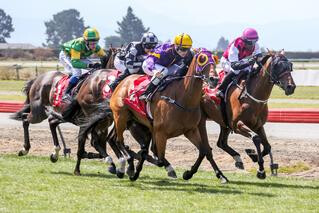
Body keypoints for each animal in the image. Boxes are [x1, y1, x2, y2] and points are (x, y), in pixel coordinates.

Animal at [110, 48, 230, 183]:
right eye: (202, 59)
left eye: (214, 59)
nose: (214, 79)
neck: (182, 98)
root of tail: (122, 82)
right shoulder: (161, 133)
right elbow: (159, 158)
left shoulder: (190, 130)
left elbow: (203, 151)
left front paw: (188, 174)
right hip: (120, 117)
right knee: (119, 141)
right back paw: (125, 166)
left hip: (137, 124)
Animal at [200, 50, 298, 179]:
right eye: (277, 66)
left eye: (290, 66)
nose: (291, 87)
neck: (251, 95)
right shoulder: (237, 125)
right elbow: (256, 138)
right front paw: (260, 170)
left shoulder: (258, 125)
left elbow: (267, 146)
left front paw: (254, 156)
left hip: (224, 123)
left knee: (221, 143)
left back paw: (238, 159)